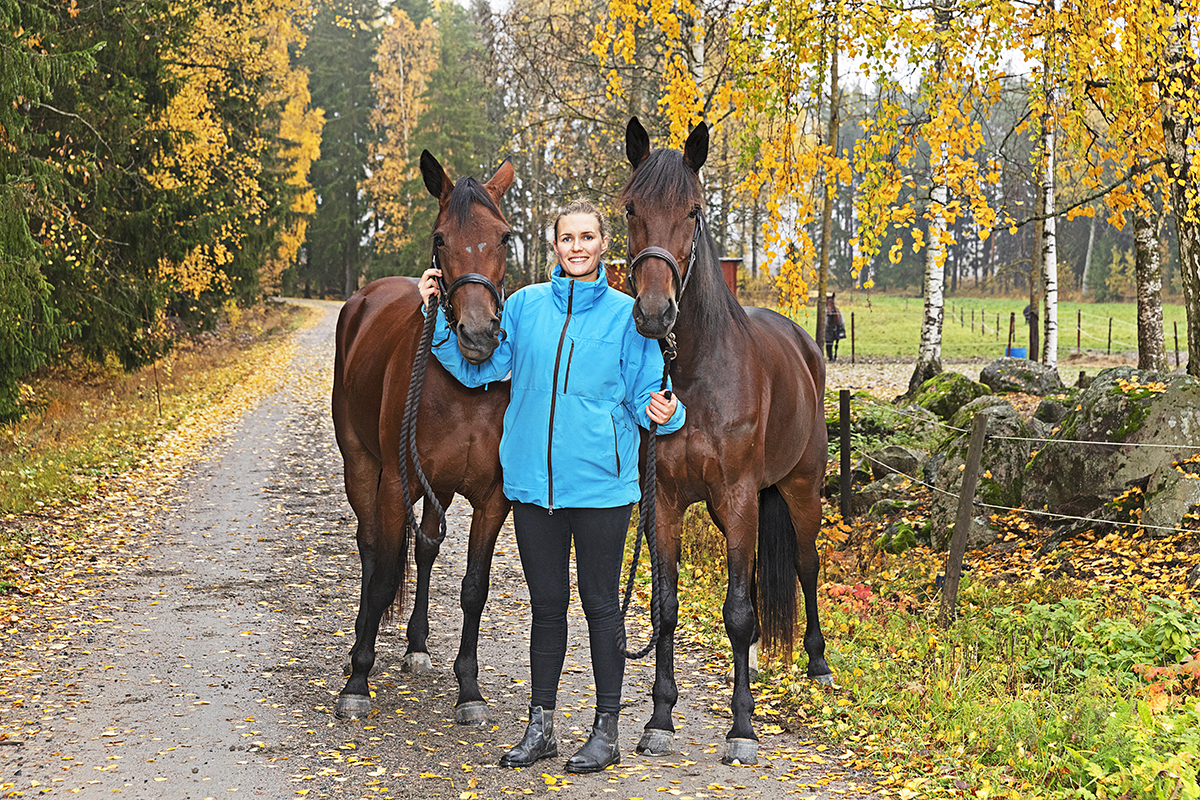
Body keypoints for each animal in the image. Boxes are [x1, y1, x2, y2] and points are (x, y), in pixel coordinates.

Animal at [331, 149, 513, 724]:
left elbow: (474, 587)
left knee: (428, 547)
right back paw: (359, 646)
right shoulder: (396, 484)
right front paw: (357, 682)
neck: (465, 386)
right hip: (361, 465)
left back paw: (416, 645)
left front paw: (470, 690)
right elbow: (383, 574)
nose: (477, 334)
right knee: (371, 547)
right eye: (439, 238)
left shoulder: (492, 498)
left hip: (441, 488)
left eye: (504, 237)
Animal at [619, 117, 835, 762]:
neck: (692, 375)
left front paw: (742, 727)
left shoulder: (738, 497)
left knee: (807, 566)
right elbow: (665, 607)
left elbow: (737, 611)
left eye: (692, 210)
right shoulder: (664, 502)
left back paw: (817, 664)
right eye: (632, 207)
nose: (654, 313)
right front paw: (660, 718)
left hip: (799, 491)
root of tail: (805, 345)